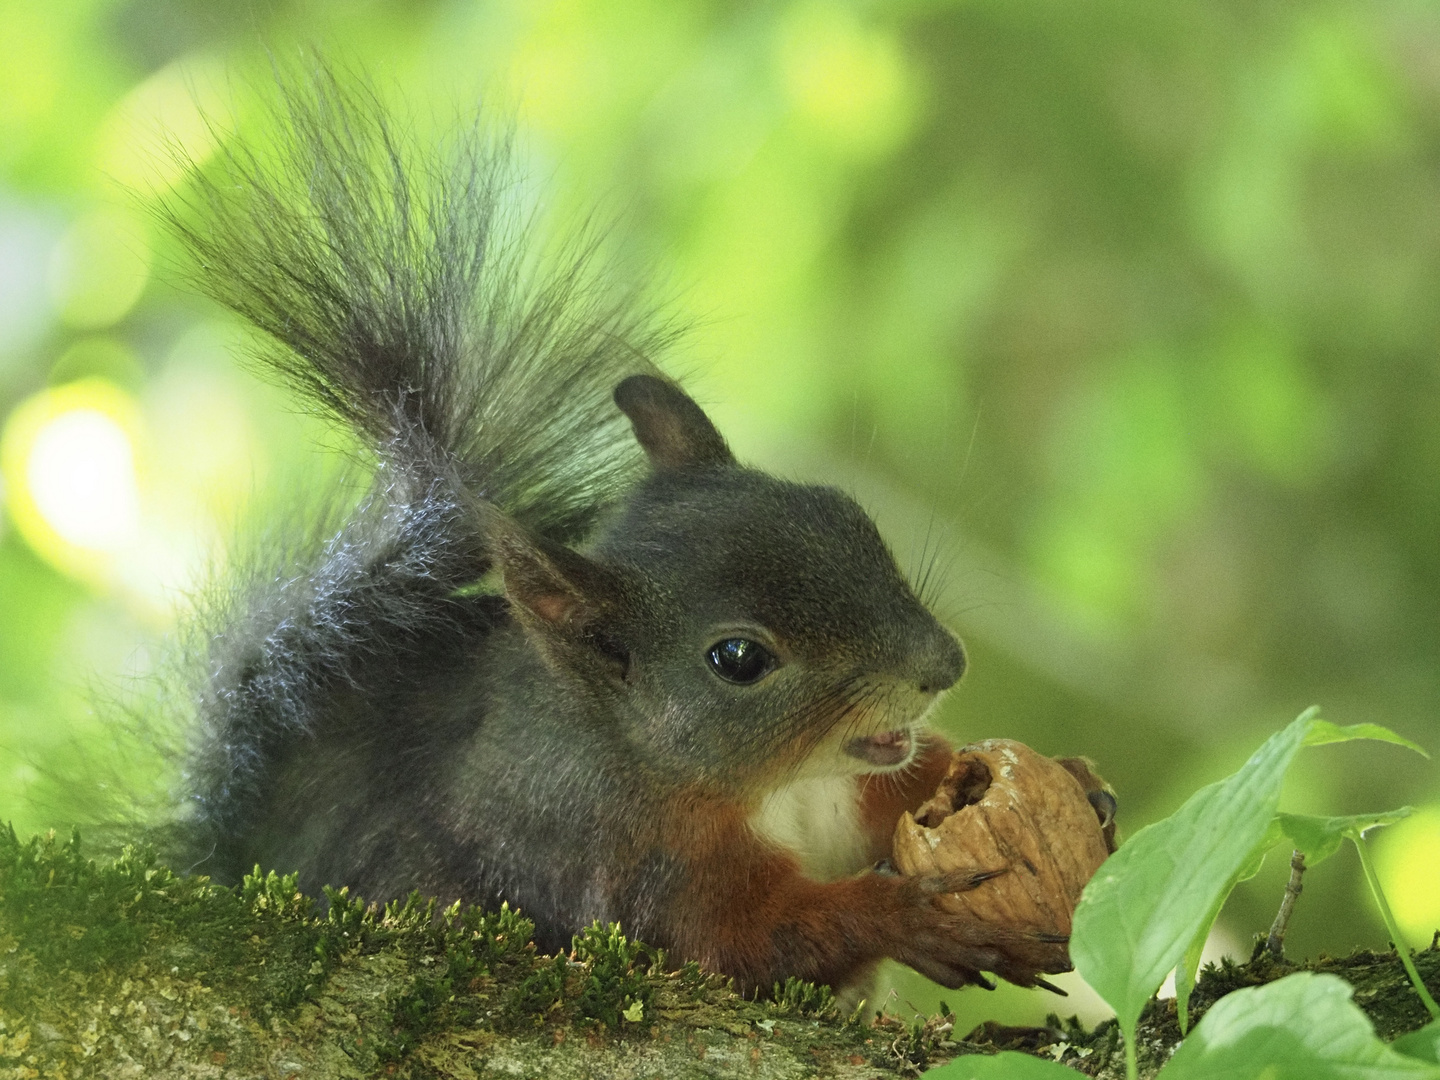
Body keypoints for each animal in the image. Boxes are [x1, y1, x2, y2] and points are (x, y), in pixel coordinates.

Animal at [160, 67, 1111, 996]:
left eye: (844, 513)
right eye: (737, 659)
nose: (942, 665)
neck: (784, 786)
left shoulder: (856, 787)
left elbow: (904, 788)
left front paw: (1060, 779)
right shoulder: (637, 870)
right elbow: (751, 943)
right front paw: (912, 917)